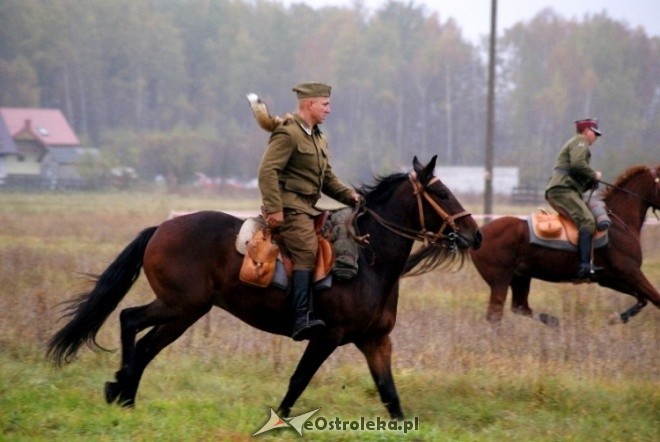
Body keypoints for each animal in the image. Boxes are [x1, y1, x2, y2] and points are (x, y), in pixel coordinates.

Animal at [45, 157, 480, 420]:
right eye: (442, 193)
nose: (474, 235)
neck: (367, 259)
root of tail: (161, 228)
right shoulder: (326, 338)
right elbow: (298, 380)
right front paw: (280, 419)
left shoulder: (376, 342)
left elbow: (390, 395)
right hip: (180, 306)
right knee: (129, 319)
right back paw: (120, 384)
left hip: (184, 313)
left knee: (146, 343)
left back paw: (126, 394)